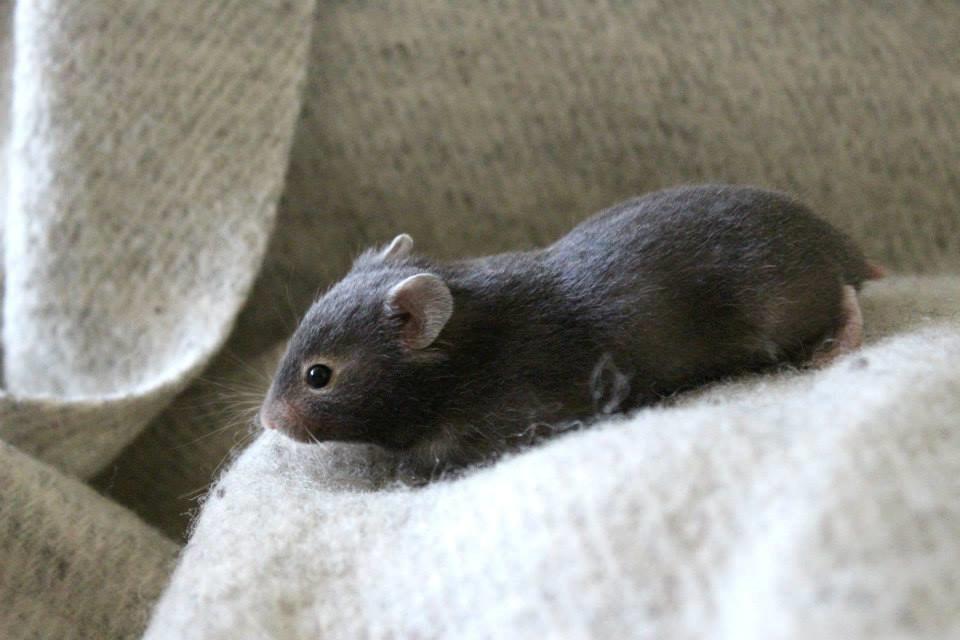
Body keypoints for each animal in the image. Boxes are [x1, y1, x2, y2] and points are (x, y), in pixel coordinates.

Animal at [259, 184, 883, 474]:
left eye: (318, 376)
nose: (266, 420)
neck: (465, 339)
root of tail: (833, 239)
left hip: (785, 301)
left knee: (844, 294)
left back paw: (839, 340)